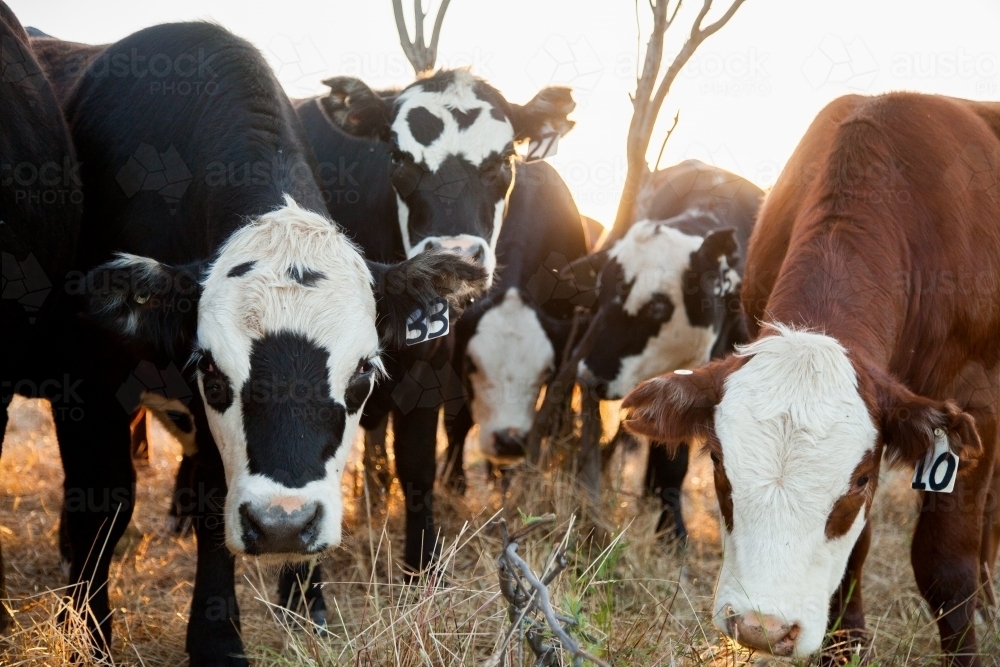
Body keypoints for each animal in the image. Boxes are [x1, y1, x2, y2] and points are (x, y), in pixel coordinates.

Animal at [35, 23, 480, 664]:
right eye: (213, 374)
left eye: (362, 375)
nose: (283, 525)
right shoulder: (88, 386)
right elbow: (104, 504)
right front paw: (90, 635)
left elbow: (212, 496)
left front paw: (284, 620)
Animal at [620, 92, 996, 664]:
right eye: (719, 465)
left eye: (858, 481)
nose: (762, 627)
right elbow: (854, 555)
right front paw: (846, 646)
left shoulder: (975, 404)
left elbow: (946, 567)